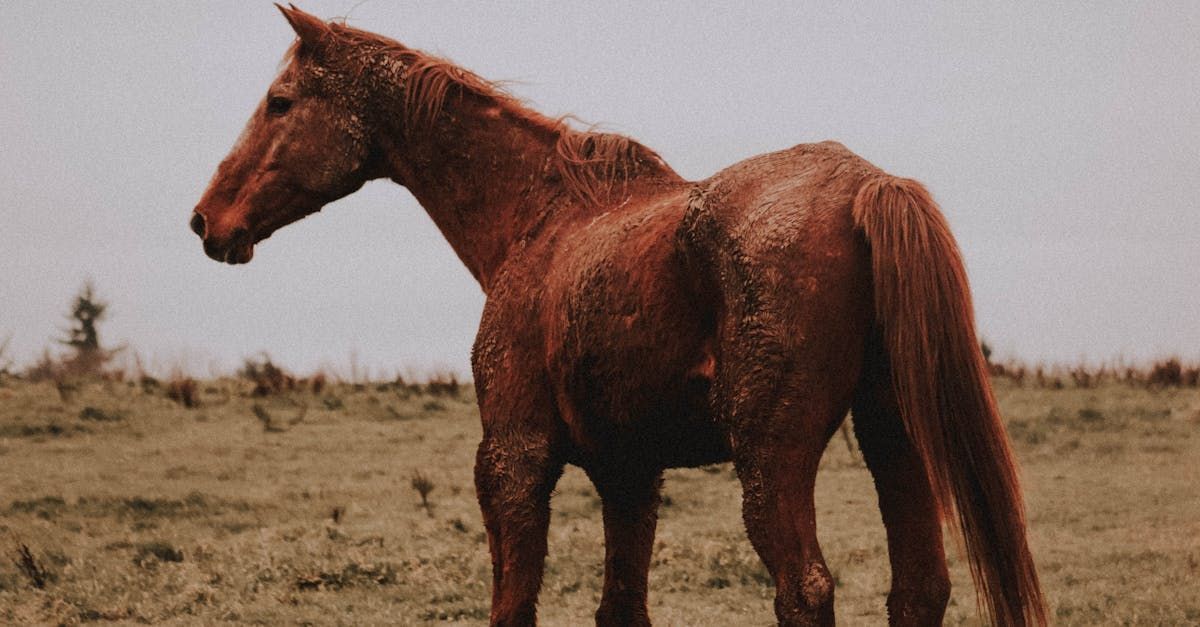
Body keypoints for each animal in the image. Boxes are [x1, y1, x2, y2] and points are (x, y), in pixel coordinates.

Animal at [192, 6, 1046, 624]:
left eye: (280, 103)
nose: (207, 220)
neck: (537, 220)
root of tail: (866, 184)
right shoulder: (629, 473)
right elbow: (620, 607)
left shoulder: (512, 460)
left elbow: (513, 605)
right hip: (892, 434)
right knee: (919, 587)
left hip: (772, 460)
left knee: (805, 587)